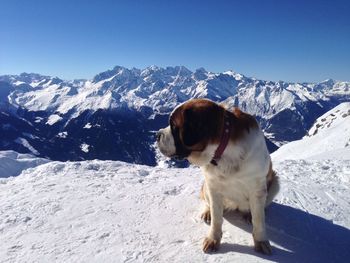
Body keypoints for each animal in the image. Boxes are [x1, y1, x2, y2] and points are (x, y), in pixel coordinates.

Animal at [156, 98, 278, 256]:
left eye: (174, 126)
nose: (157, 135)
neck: (223, 150)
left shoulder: (257, 189)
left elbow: (259, 220)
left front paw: (261, 241)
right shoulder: (213, 187)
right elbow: (216, 219)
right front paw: (213, 239)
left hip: (274, 183)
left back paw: (248, 214)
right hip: (206, 186)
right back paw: (208, 212)